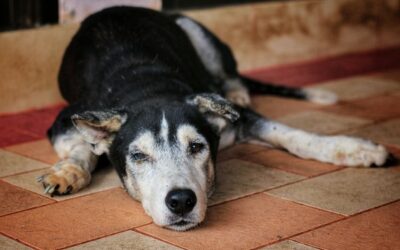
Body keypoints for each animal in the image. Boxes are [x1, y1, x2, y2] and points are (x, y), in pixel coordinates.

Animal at [38, 6, 390, 231]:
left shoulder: (238, 120)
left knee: (230, 77)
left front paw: (354, 149)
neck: (148, 87)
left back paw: (237, 92)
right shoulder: (64, 121)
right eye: (138, 156)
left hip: (195, 29)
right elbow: (82, 147)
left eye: (197, 147)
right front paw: (67, 173)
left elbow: (291, 134)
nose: (181, 201)